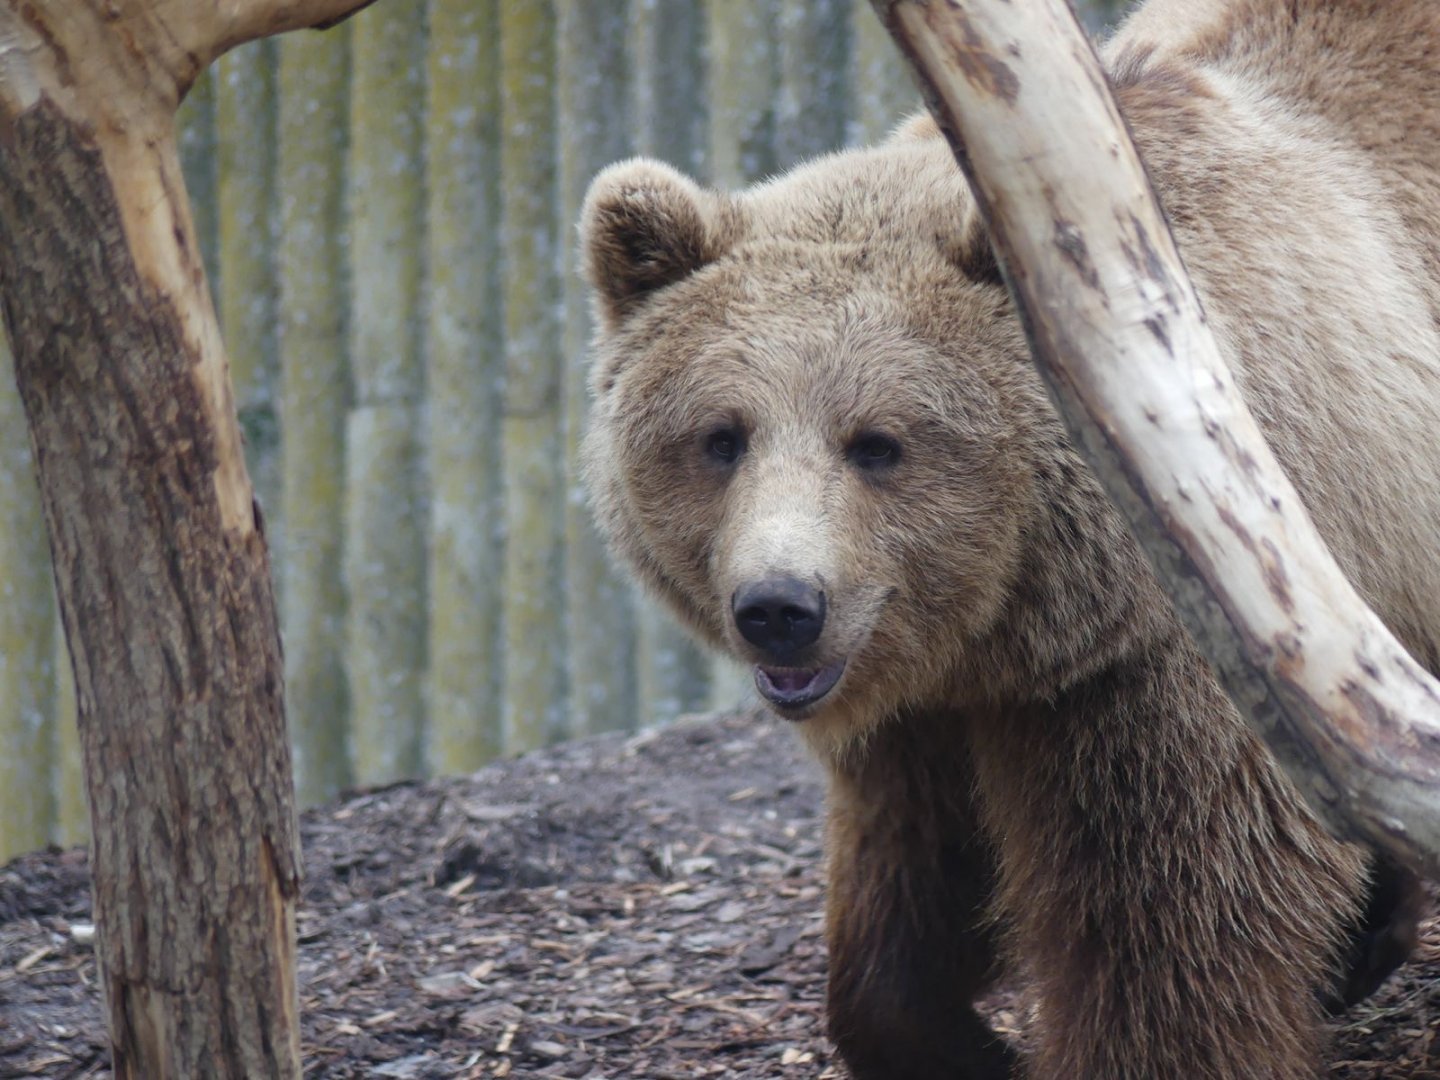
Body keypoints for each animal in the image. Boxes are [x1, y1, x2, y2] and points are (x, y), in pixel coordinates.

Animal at [577, 0, 1440, 1076]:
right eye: (722, 436)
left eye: (879, 443)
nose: (779, 608)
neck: (1017, 621)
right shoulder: (928, 709)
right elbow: (912, 873)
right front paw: (947, 1037)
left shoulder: (1165, 663)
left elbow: (1169, 926)